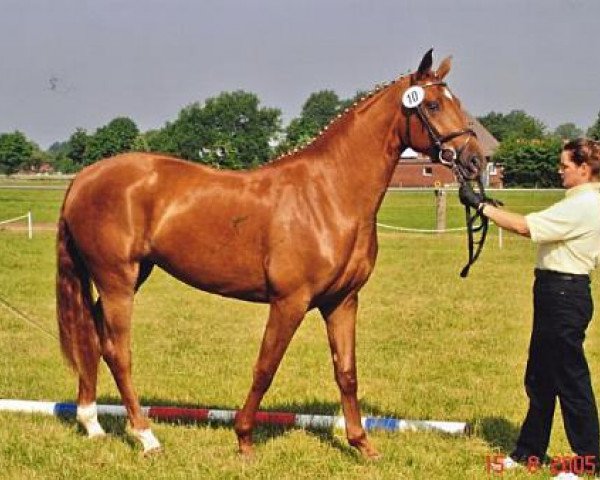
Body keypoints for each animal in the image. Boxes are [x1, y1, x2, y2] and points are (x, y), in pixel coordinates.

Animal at [56, 50, 486, 460]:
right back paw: (146, 437)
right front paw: (244, 439)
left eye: (456, 101)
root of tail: (85, 177)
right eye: (433, 105)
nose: (475, 160)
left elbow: (346, 372)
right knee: (118, 351)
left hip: (130, 276)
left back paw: (92, 423)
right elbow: (265, 367)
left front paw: (362, 444)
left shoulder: (343, 301)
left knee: (92, 336)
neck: (329, 194)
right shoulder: (289, 302)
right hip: (118, 280)